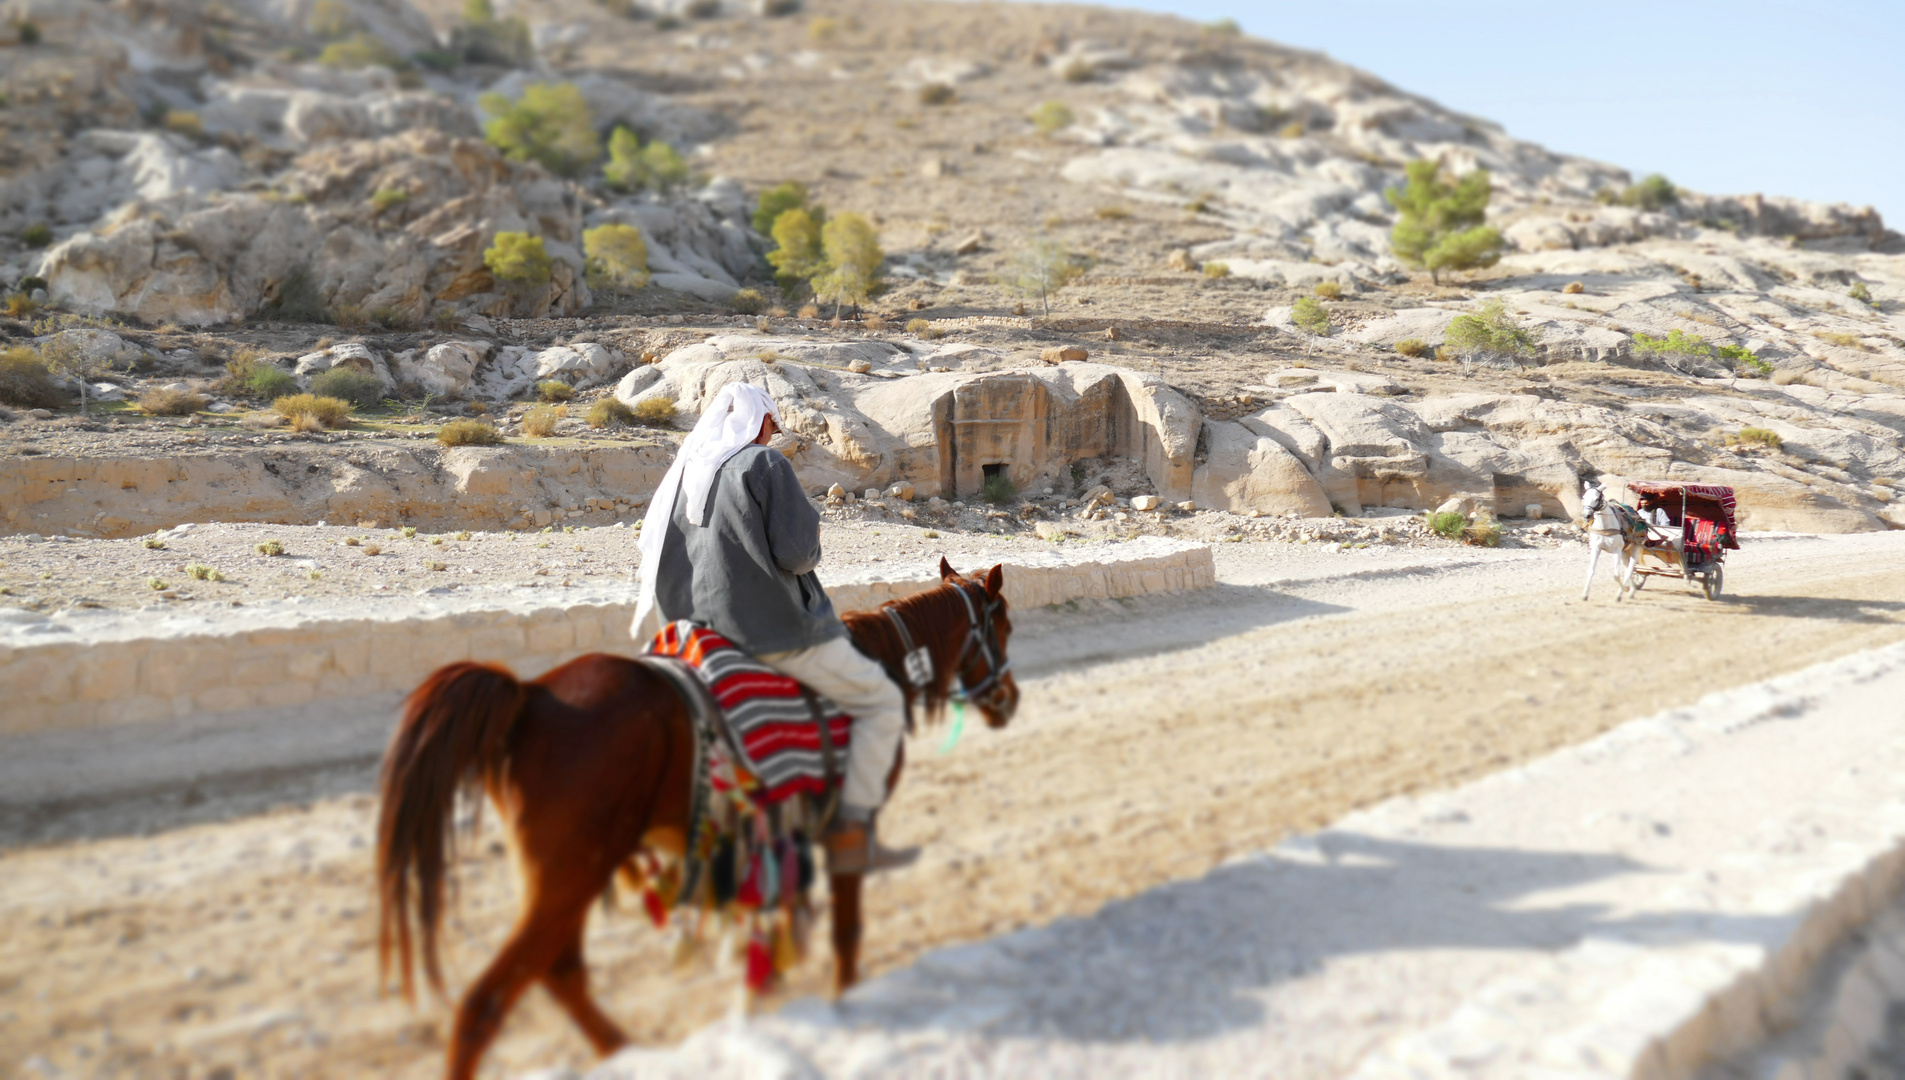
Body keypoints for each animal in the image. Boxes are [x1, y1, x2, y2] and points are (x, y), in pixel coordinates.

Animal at [377, 563, 1021, 1074]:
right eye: (1005, 628)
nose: (1009, 699)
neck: (884, 660)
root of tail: (527, 698)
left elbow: (772, 919)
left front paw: (763, 999)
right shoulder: (846, 826)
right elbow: (846, 932)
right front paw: (846, 1003)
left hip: (565, 877)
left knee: (560, 974)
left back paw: (627, 1052)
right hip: (571, 874)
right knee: (487, 1003)